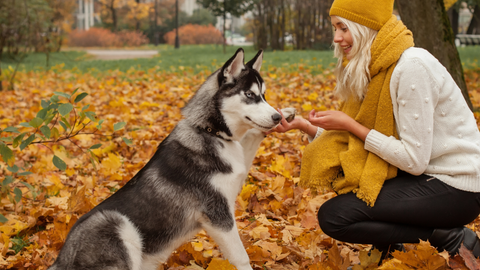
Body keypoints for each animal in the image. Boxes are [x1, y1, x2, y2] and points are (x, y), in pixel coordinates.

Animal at [47, 49, 292, 270]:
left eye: (263, 95)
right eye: (249, 95)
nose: (276, 116)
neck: (210, 132)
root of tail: (60, 260)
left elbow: (252, 137)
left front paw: (287, 113)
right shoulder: (218, 215)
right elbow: (241, 258)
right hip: (116, 223)